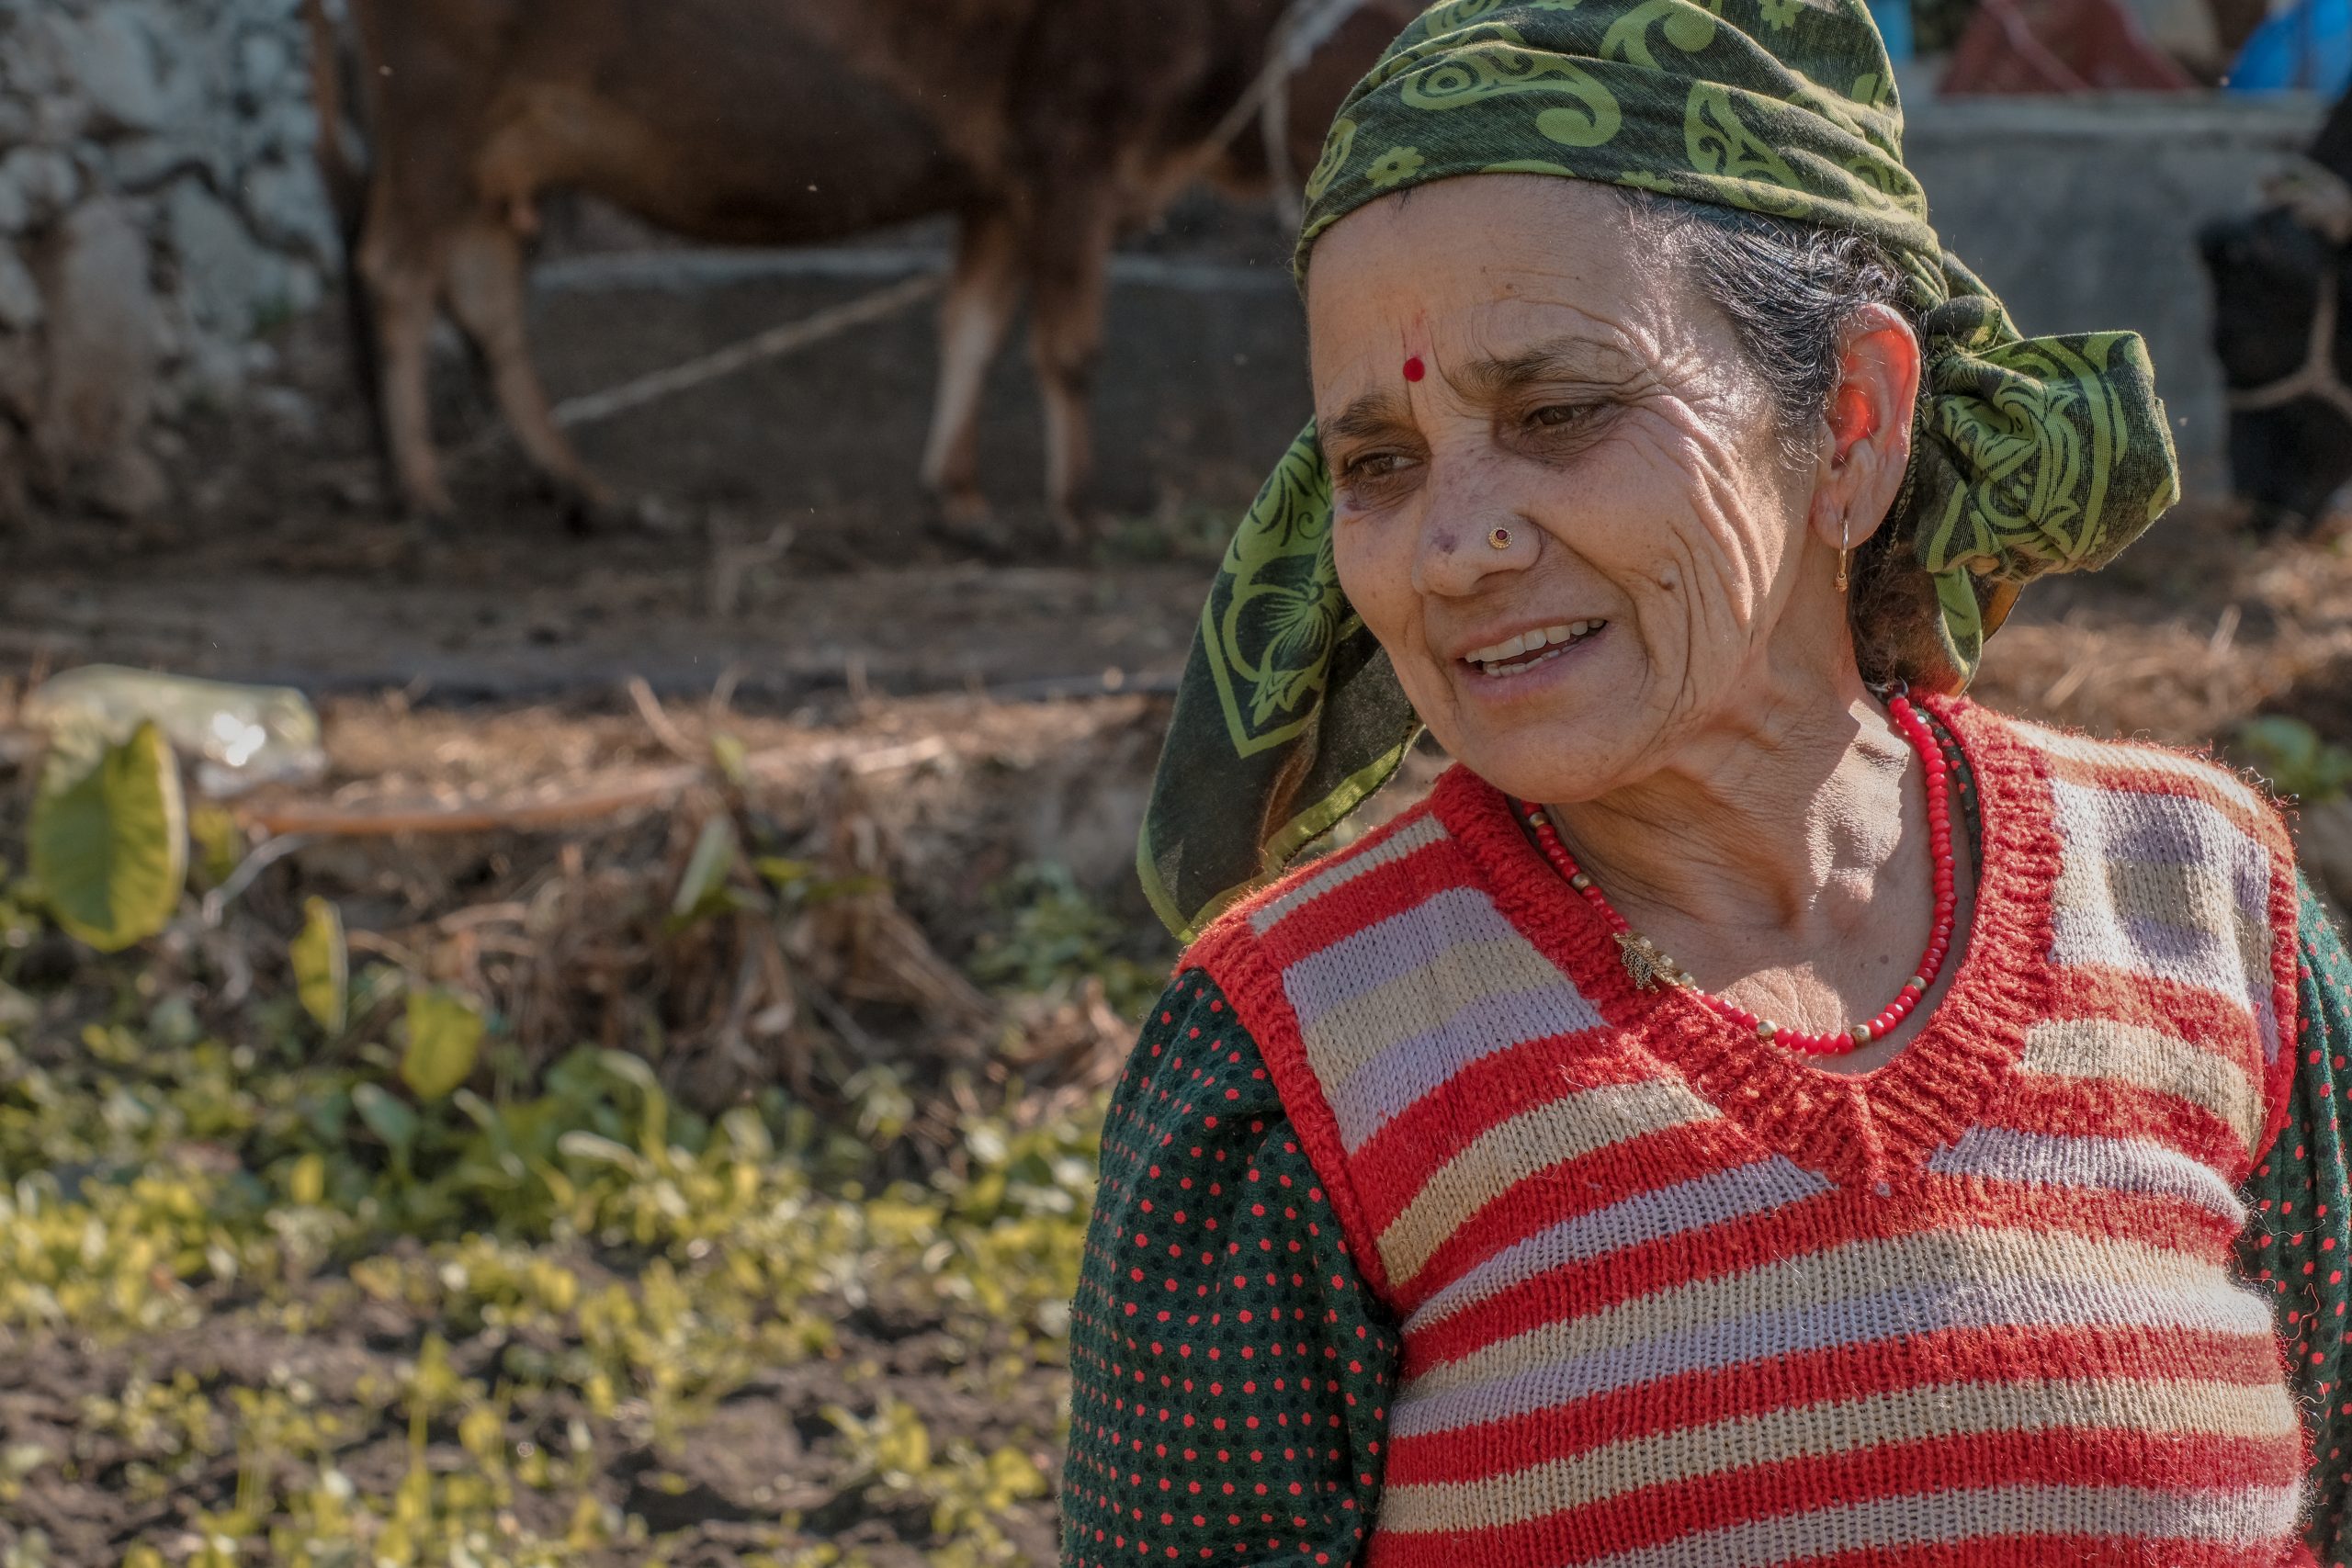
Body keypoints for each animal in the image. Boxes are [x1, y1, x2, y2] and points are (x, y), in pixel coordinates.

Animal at [312, 0, 1411, 536]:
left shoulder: (997, 185)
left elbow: (971, 326)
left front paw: (959, 499)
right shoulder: (1067, 151)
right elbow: (1068, 345)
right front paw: (1073, 507)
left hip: (492, 152)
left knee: (484, 294)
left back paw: (585, 488)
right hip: (434, 108)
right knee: (397, 275)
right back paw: (425, 491)